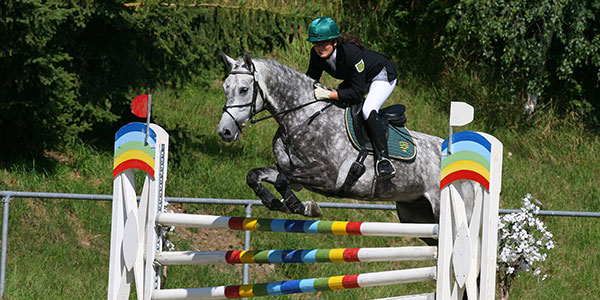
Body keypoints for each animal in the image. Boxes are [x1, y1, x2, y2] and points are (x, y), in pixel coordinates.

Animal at [218, 53, 476, 244]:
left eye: (243, 89)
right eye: (225, 87)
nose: (225, 131)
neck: (303, 118)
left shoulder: (326, 176)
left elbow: (283, 182)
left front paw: (306, 208)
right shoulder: (292, 171)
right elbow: (255, 176)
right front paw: (276, 203)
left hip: (446, 212)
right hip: (416, 216)